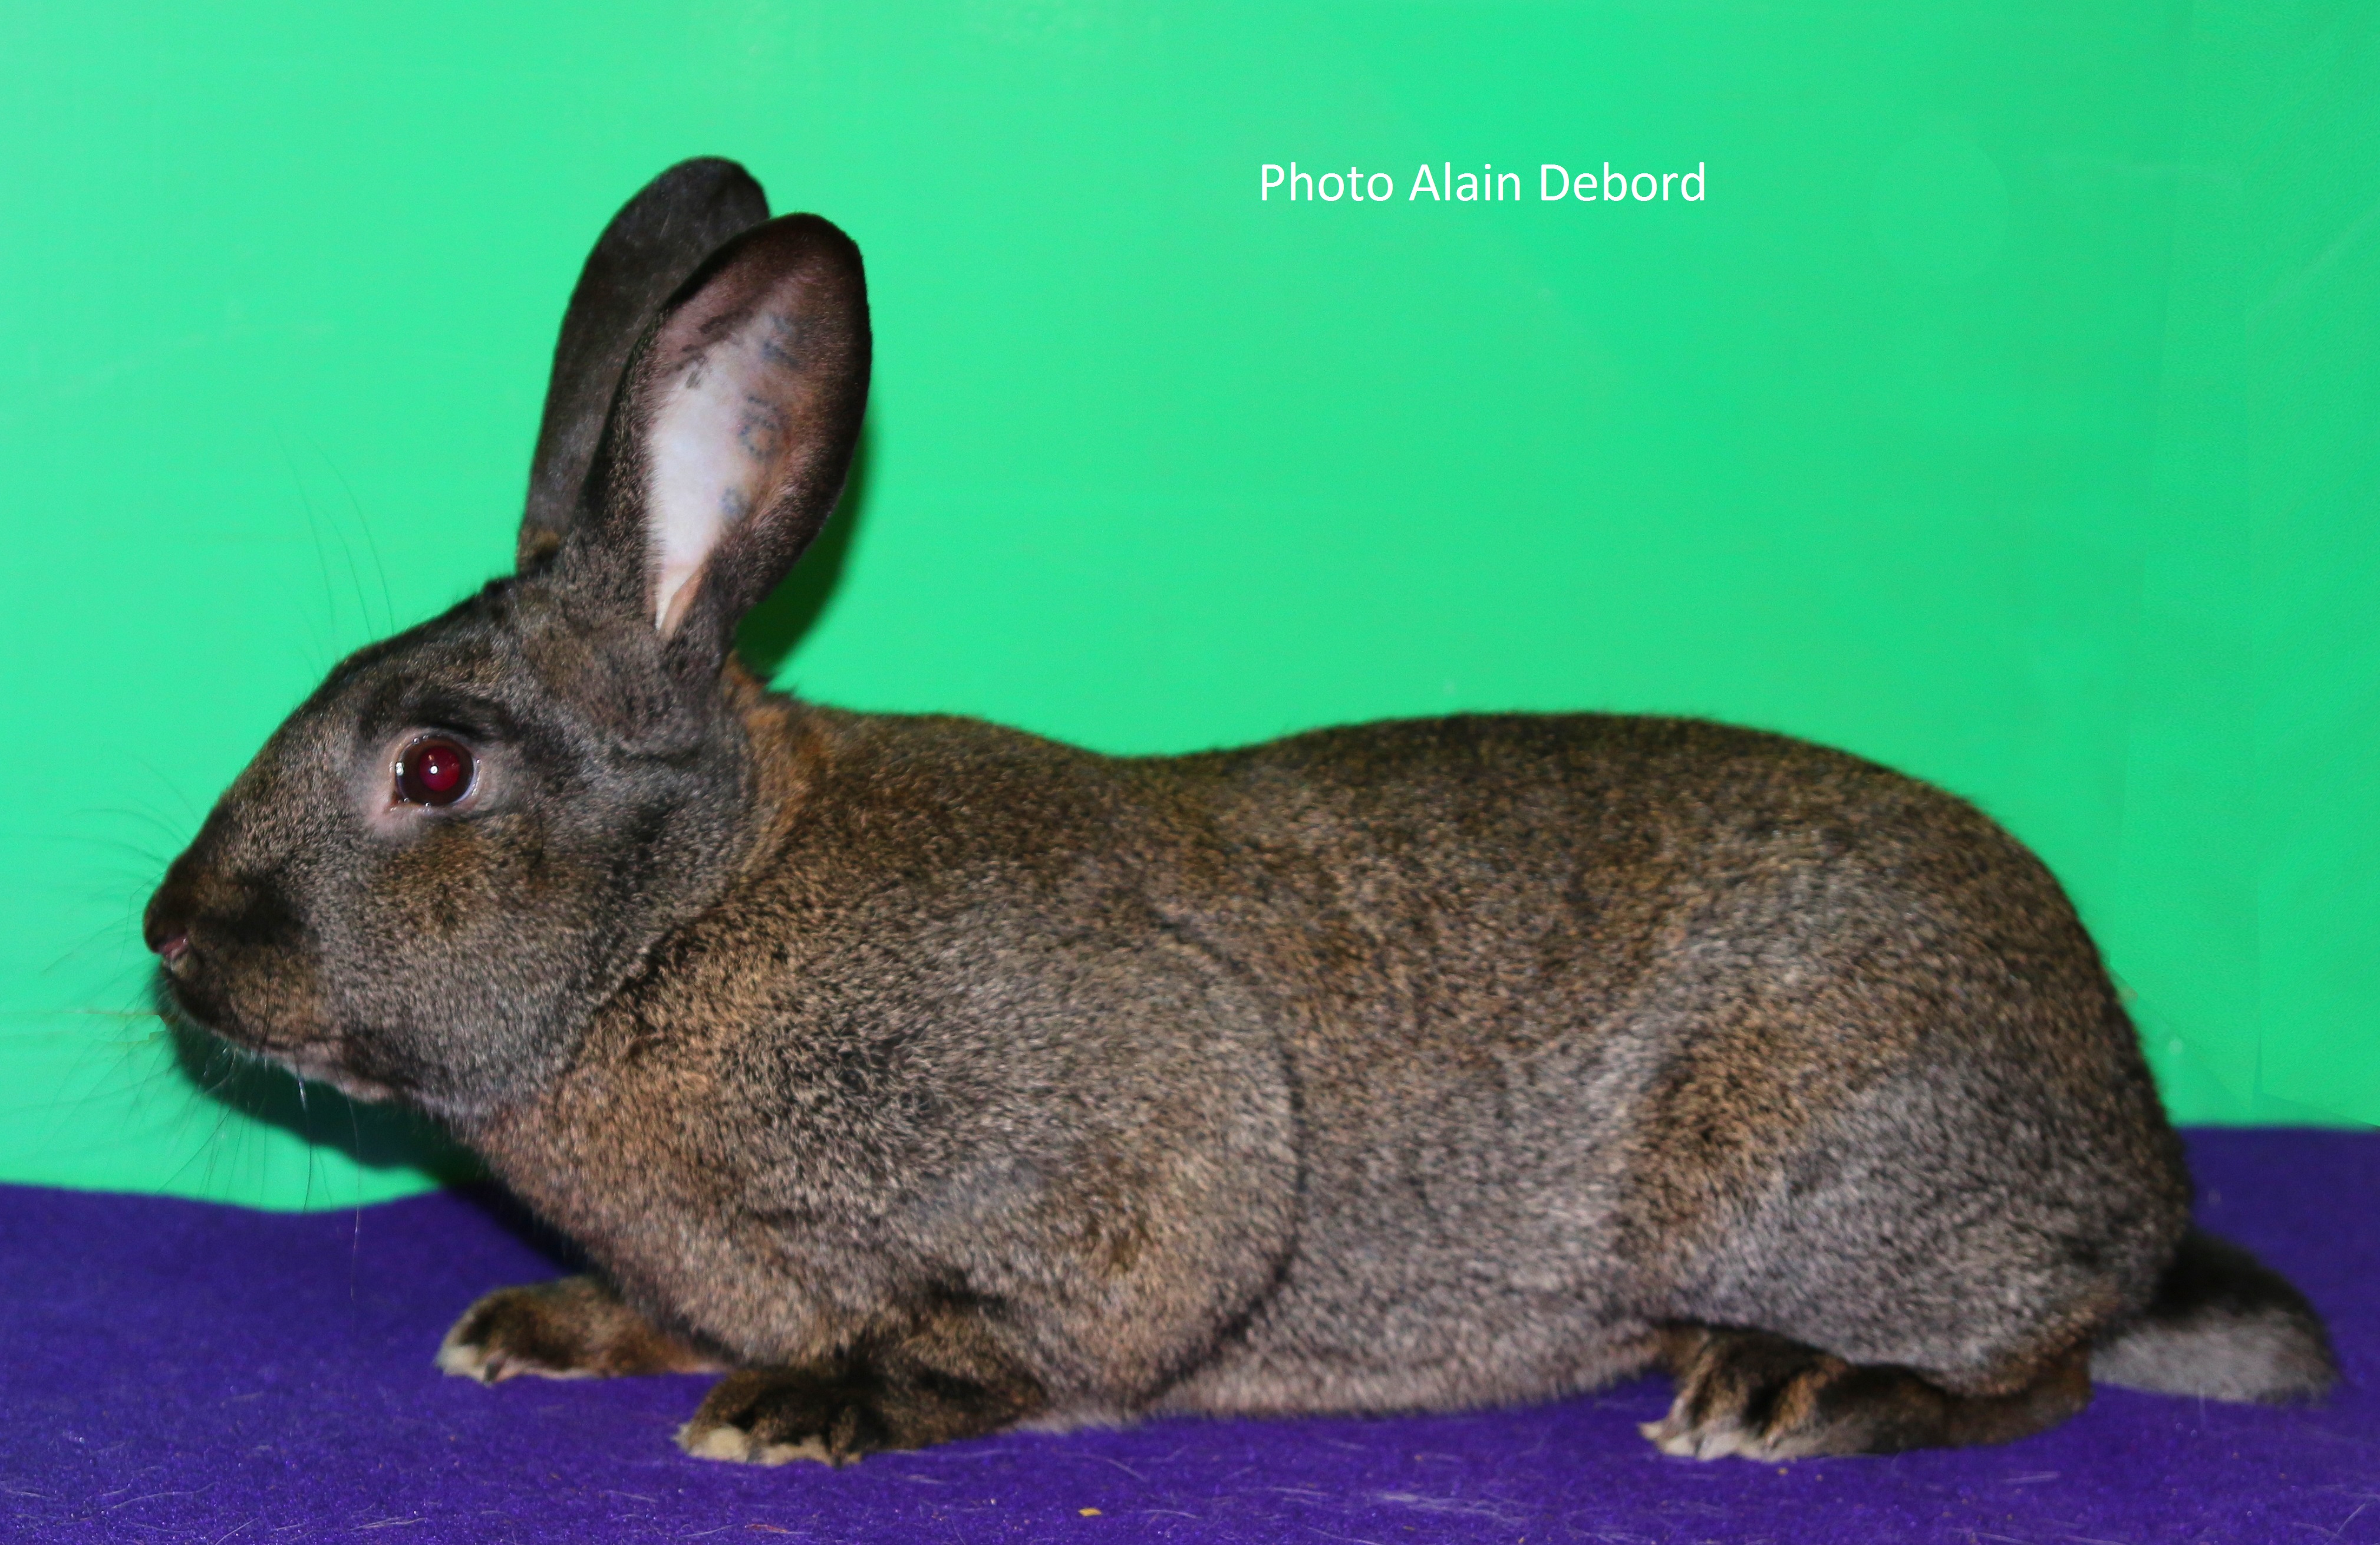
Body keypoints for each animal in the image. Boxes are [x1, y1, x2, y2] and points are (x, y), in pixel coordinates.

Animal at [139, 159, 2332, 1466]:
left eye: (433, 769)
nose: (175, 943)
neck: (680, 923)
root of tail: (2132, 1160)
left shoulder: (1135, 1153)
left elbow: (1040, 1329)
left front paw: (802, 1407)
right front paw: (542, 1327)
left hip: (1826, 1172)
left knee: (2038, 1360)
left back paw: (1794, 1390)